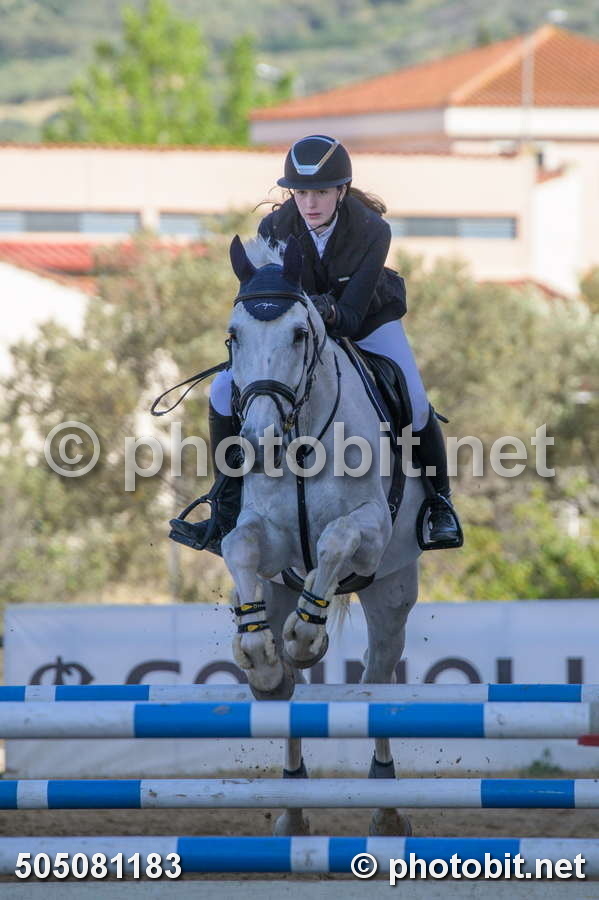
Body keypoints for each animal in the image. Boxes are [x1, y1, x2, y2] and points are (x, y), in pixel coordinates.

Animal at [219, 234, 425, 836]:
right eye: (233, 336)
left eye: (299, 333)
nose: (257, 442)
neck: (302, 440)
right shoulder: (265, 540)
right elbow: (237, 546)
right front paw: (261, 657)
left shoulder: (372, 530)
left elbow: (334, 541)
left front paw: (308, 637)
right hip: (280, 587)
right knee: (292, 693)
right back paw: (292, 806)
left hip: (392, 590)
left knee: (379, 676)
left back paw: (386, 808)